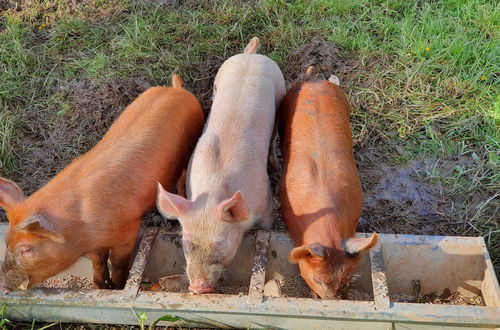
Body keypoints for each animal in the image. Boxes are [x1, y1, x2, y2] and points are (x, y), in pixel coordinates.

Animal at [0, 75, 204, 292]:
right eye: (6, 242)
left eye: (26, 250)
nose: (2, 285)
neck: (80, 225)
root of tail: (176, 89)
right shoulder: (93, 247)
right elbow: (98, 264)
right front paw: (99, 287)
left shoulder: (128, 231)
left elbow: (119, 264)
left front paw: (116, 287)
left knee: (182, 177)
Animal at [156, 36, 286, 294]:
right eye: (187, 242)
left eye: (220, 243)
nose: (198, 287)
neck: (213, 191)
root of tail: (250, 55)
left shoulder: (264, 201)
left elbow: (266, 225)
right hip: (220, 78)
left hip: (280, 87)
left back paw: (275, 165)